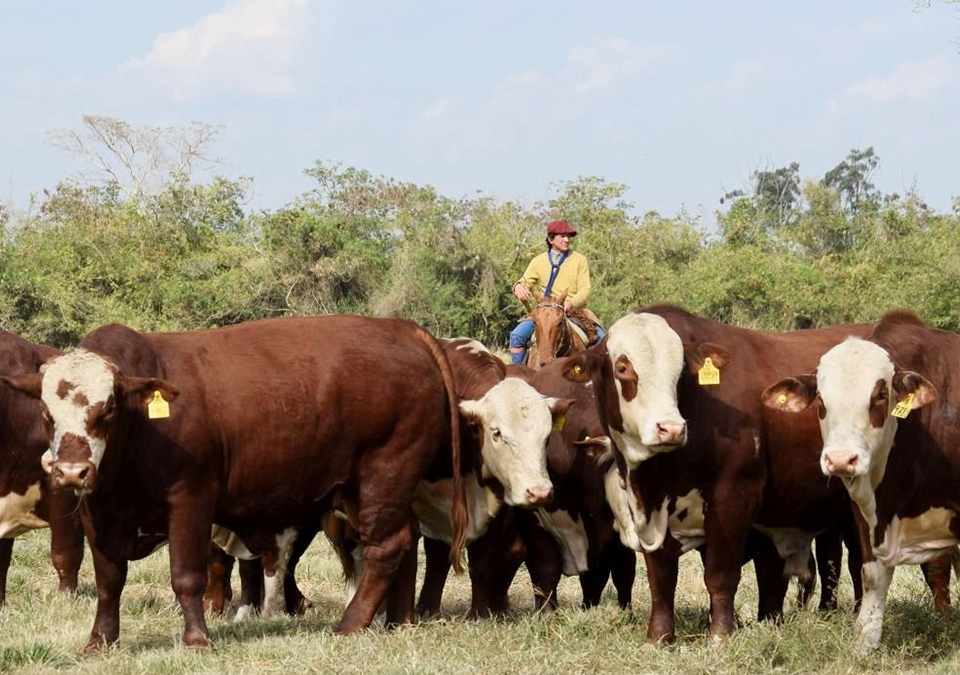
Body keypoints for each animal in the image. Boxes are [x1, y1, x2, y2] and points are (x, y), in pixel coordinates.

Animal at [764, 312, 960, 656]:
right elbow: (871, 574)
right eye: (821, 399)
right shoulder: (865, 511)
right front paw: (865, 640)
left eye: (880, 395)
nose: (841, 459)